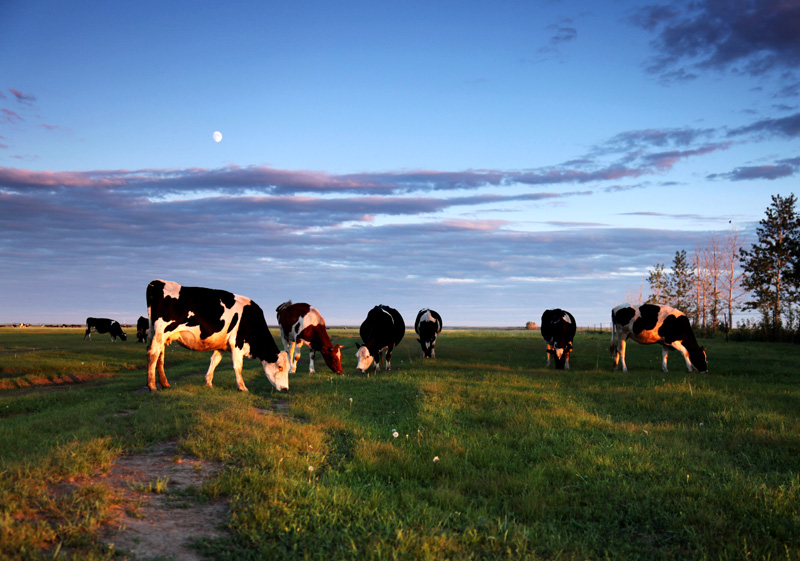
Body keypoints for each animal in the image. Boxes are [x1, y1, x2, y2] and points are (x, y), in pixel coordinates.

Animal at [145, 278, 290, 392]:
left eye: (288, 368)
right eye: (280, 366)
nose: (285, 389)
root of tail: (156, 282)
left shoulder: (221, 345)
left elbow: (215, 361)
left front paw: (208, 382)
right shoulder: (237, 343)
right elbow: (238, 366)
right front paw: (242, 387)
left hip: (160, 334)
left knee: (160, 355)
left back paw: (165, 383)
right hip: (161, 330)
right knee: (153, 353)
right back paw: (152, 385)